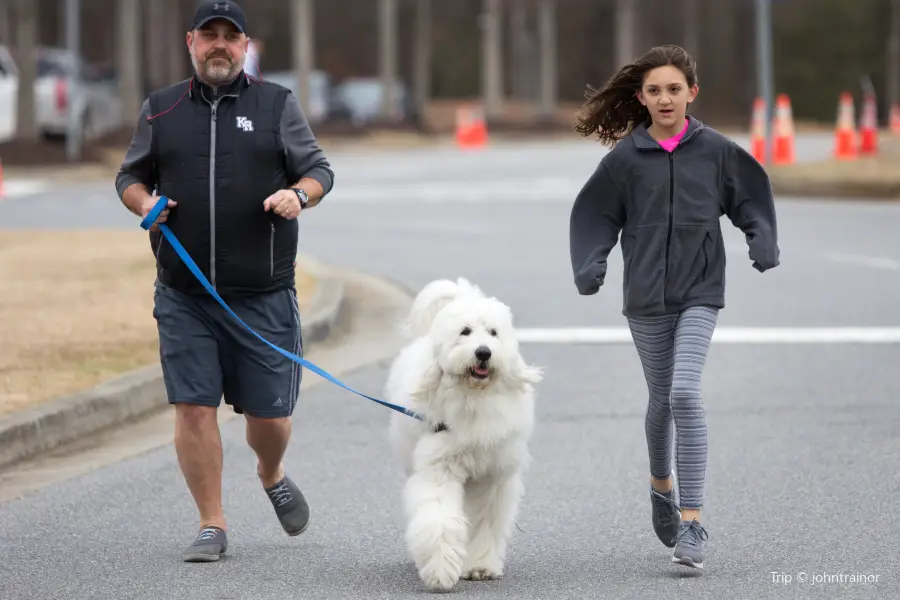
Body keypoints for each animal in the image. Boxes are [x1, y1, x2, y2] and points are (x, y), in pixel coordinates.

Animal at [384, 278, 540, 592]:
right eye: (465, 331)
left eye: (493, 333)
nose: (483, 352)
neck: (473, 397)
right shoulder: (439, 469)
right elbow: (439, 520)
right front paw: (441, 570)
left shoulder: (492, 477)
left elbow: (484, 522)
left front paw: (480, 566)